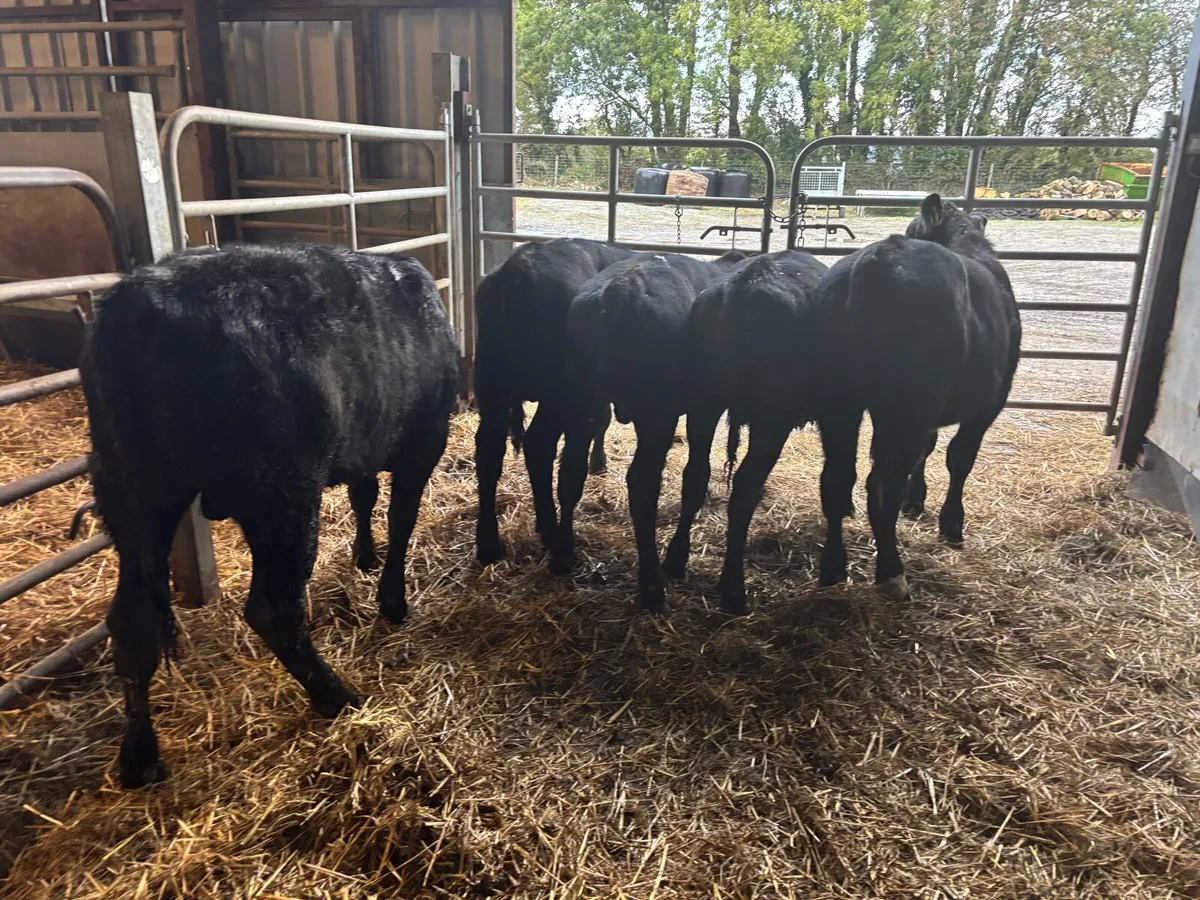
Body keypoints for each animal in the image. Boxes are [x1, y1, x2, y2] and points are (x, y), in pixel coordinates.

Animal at [81, 243, 459, 789]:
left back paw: (139, 756)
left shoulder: (364, 443)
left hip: (132, 496)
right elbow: (401, 518)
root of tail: (138, 302)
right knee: (273, 608)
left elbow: (364, 495)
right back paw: (337, 696)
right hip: (283, 494)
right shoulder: (423, 443)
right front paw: (393, 600)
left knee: (132, 621)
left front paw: (364, 556)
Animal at [473, 238, 636, 565]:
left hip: (493, 386)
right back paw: (559, 542)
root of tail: (519, 268)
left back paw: (490, 544)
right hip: (562, 395)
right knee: (548, 450)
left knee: (491, 453)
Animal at [551, 249, 751, 611]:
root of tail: (618, 293)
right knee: (642, 483)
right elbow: (696, 474)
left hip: (583, 398)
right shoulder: (705, 405)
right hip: (655, 415)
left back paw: (562, 553)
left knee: (571, 469)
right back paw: (652, 585)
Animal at [660, 250, 829, 614]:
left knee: (695, 474)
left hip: (705, 401)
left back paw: (675, 560)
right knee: (745, 488)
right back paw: (733, 590)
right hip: (771, 418)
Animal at [815, 194, 1021, 601]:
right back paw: (892, 574)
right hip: (908, 407)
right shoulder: (990, 402)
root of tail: (878, 260)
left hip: (843, 402)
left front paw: (918, 499)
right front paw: (952, 524)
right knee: (882, 486)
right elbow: (960, 458)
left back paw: (833, 567)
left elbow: (930, 448)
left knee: (838, 477)